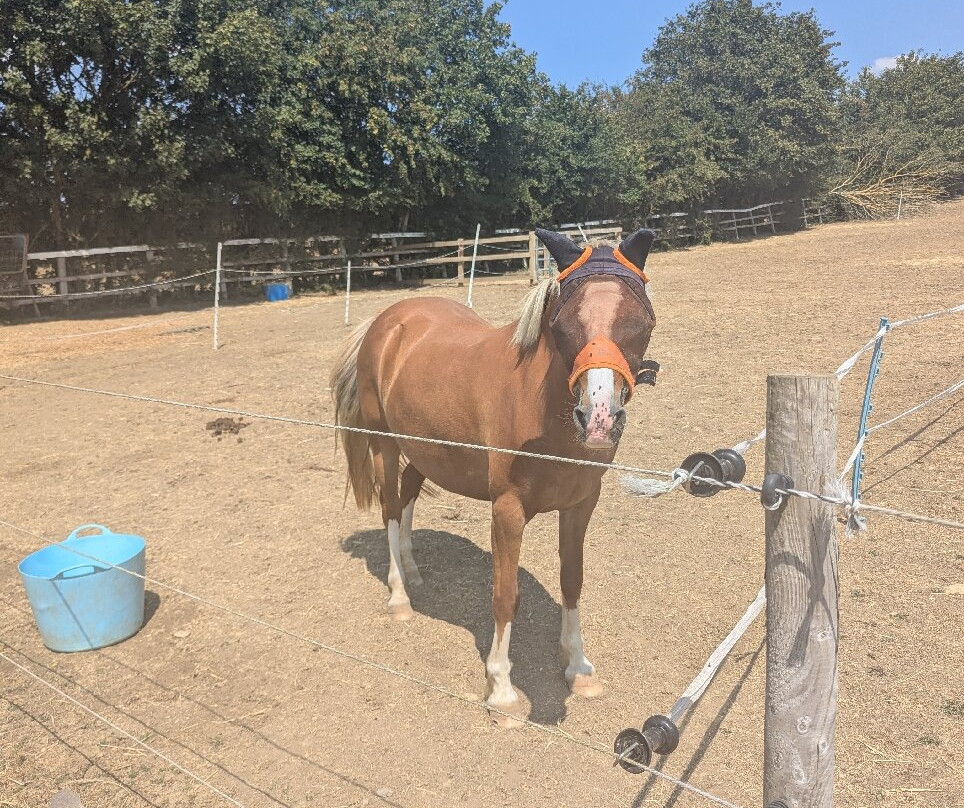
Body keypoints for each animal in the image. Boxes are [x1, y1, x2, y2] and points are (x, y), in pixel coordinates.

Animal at [330, 228, 657, 725]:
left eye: (641, 321)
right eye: (562, 324)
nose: (599, 419)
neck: (540, 408)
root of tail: (385, 321)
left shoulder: (581, 505)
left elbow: (572, 580)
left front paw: (579, 668)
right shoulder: (507, 511)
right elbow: (506, 595)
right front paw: (500, 689)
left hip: (422, 449)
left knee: (406, 497)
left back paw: (412, 568)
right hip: (383, 444)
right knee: (389, 509)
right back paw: (400, 595)